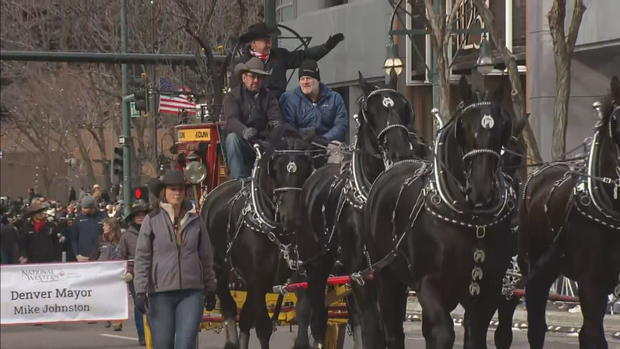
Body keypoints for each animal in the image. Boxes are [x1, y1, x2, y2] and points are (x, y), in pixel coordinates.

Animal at [203, 125, 318, 348]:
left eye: (305, 167)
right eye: (275, 169)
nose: (291, 217)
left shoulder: (300, 275)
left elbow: (304, 315)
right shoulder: (256, 279)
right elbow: (263, 327)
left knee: (246, 318)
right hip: (220, 272)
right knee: (230, 309)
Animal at [298, 72, 418, 346]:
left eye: (404, 108)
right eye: (371, 111)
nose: (400, 151)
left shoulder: (390, 274)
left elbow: (388, 331)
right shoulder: (360, 275)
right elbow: (373, 330)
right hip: (317, 265)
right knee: (317, 318)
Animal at [366, 77, 520, 348]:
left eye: (503, 126)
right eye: (463, 126)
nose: (481, 188)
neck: (469, 219)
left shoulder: (490, 287)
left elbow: (475, 333)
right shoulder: (428, 282)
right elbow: (442, 332)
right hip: (385, 274)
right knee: (393, 330)